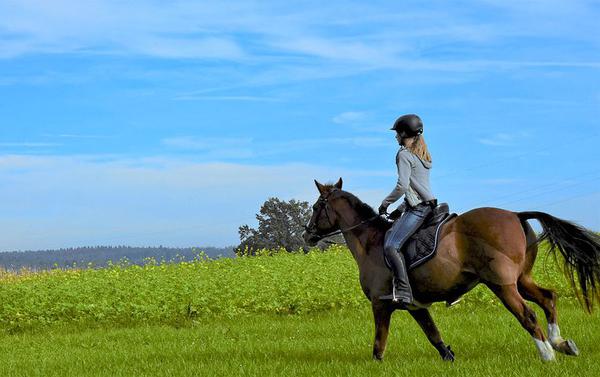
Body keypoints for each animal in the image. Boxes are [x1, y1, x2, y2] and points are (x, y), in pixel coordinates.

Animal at [302, 178, 600, 362]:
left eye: (316, 207)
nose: (307, 234)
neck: (370, 242)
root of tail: (516, 215)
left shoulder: (380, 304)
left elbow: (379, 343)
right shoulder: (415, 306)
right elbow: (433, 335)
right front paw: (449, 357)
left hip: (502, 285)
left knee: (527, 314)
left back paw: (548, 354)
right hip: (521, 280)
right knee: (548, 298)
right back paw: (561, 343)